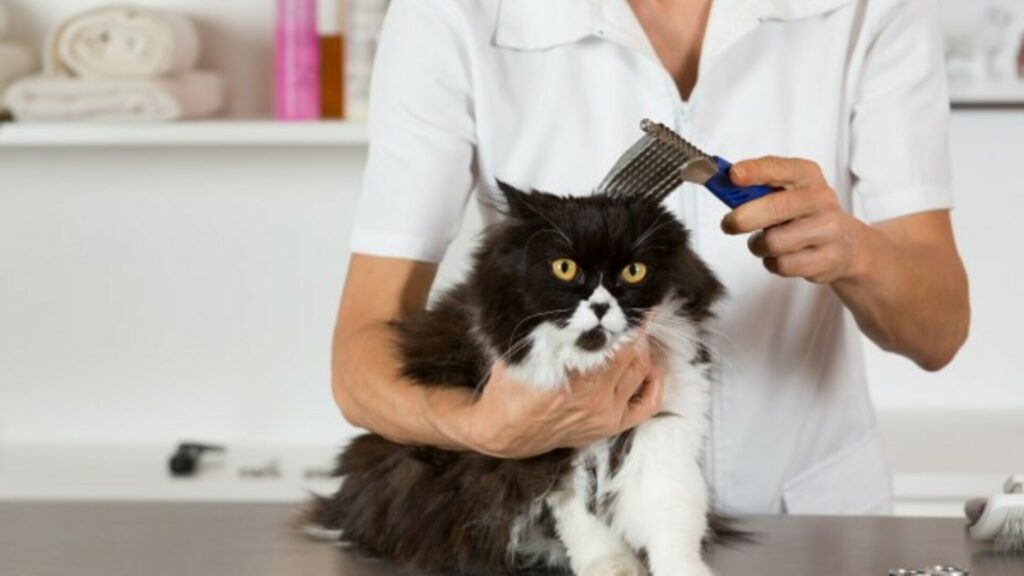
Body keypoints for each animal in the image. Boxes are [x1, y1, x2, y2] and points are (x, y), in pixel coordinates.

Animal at [303, 180, 729, 573]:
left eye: (634, 271)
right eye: (564, 267)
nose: (600, 306)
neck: (590, 364)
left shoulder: (665, 433)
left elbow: (671, 518)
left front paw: (683, 569)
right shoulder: (555, 458)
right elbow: (587, 529)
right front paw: (612, 567)